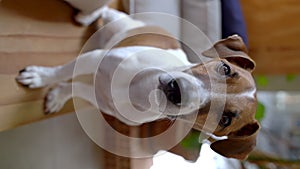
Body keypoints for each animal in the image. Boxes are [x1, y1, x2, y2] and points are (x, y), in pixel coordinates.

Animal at [16, 6, 258, 160]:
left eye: (224, 120)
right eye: (225, 69)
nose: (176, 91)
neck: (139, 89)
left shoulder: (98, 96)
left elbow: (73, 87)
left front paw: (57, 97)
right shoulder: (94, 58)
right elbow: (61, 72)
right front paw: (40, 76)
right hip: (118, 23)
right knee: (105, 9)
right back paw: (87, 15)